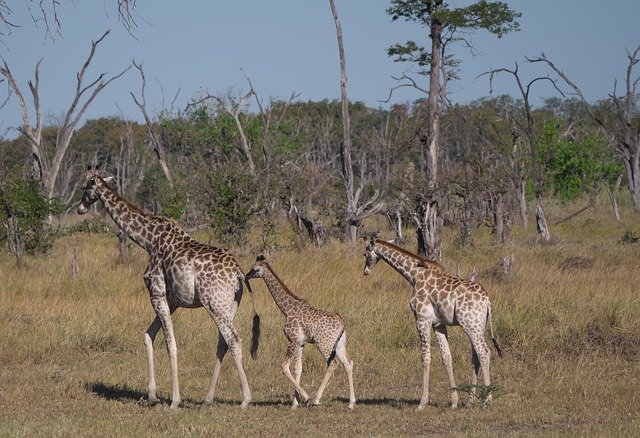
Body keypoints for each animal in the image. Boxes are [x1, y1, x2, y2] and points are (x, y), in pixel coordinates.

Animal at [77, 169, 260, 408]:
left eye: (85, 187)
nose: (80, 208)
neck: (148, 241)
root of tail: (238, 273)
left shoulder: (157, 294)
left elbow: (170, 344)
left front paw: (174, 401)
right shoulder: (172, 301)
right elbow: (148, 335)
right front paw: (152, 395)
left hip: (214, 303)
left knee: (233, 339)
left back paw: (245, 400)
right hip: (231, 303)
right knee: (222, 342)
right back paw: (208, 399)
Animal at [245, 255, 356, 408]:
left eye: (254, 268)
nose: (246, 276)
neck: (286, 309)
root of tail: (342, 324)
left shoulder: (292, 340)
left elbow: (285, 367)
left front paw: (305, 397)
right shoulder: (300, 342)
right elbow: (298, 368)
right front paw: (295, 403)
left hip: (324, 344)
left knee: (333, 363)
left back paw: (316, 399)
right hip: (339, 345)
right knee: (348, 363)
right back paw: (351, 403)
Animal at [362, 238, 502, 408]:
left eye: (365, 254)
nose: (366, 271)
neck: (415, 275)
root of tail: (487, 301)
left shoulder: (422, 319)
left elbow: (425, 358)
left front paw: (422, 403)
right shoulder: (438, 324)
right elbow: (446, 357)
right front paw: (454, 401)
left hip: (470, 325)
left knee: (484, 352)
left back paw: (487, 400)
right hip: (478, 325)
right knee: (475, 356)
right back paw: (470, 401)